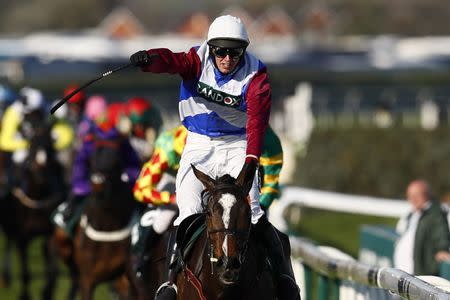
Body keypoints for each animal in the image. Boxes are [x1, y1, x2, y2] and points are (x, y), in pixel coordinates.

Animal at [0, 121, 65, 300]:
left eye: (50, 145)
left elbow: (53, 271)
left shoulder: (50, 234)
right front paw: (25, 295)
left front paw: (47, 292)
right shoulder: (22, 237)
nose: (40, 166)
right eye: (33, 144)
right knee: (8, 240)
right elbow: (25, 273)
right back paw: (6, 278)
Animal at [53, 137, 137, 300]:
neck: (107, 227)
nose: (98, 187)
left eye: (116, 162)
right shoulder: (87, 279)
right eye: (91, 160)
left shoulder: (125, 279)